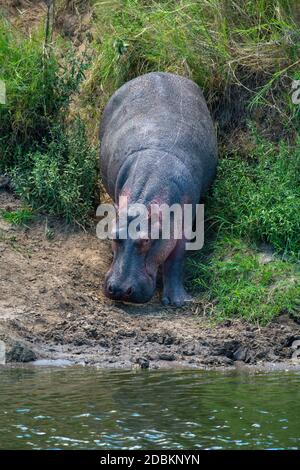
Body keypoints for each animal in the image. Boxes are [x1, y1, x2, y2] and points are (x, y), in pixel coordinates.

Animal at [99, 71, 217, 306]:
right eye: (114, 235)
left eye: (146, 239)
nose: (119, 289)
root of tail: (159, 73)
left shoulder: (180, 226)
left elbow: (177, 260)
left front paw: (178, 301)